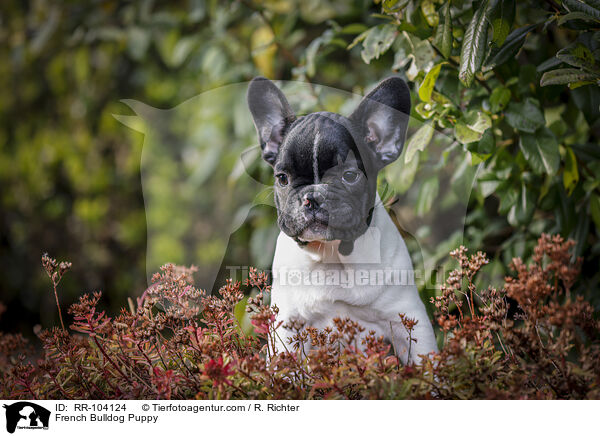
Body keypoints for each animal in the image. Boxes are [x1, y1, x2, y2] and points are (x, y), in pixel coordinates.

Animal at [246, 76, 438, 362]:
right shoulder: (288, 326)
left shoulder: (408, 317)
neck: (333, 257)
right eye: (282, 178)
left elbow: (429, 361)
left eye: (349, 176)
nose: (313, 197)